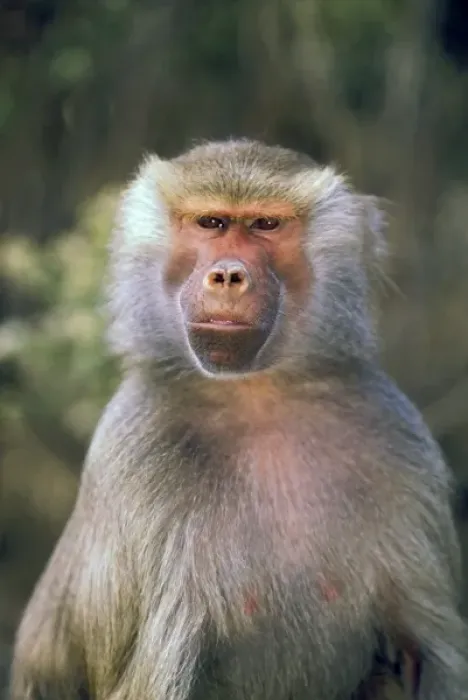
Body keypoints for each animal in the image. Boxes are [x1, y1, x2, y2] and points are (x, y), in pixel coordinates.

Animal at [8, 139, 468, 700]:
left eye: (266, 225)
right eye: (211, 222)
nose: (228, 275)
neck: (255, 394)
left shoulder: (396, 435)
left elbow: (429, 653)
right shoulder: (135, 451)